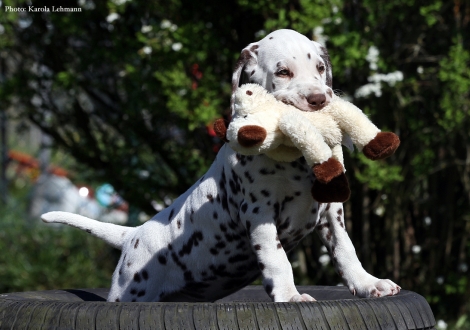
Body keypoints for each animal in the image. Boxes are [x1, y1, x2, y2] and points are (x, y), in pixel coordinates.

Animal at [42, 29, 400, 302]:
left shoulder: (331, 210)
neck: (292, 159)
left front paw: (368, 283)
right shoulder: (259, 213)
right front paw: (290, 295)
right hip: (128, 294)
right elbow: (278, 259)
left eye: (321, 68)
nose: (319, 99)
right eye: (283, 72)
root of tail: (133, 234)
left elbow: (346, 250)